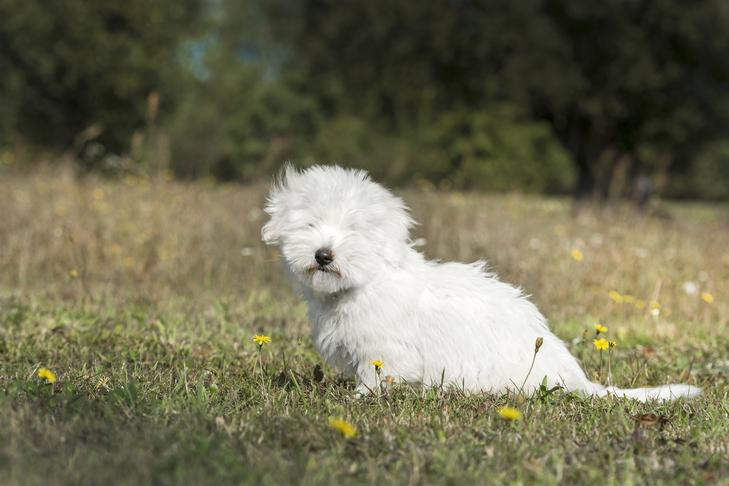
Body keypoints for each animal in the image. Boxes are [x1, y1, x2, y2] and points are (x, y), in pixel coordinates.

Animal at [262, 165, 700, 400]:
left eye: (354, 230)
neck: (365, 281)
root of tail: (574, 378)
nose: (323, 255)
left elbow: (377, 379)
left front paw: (357, 400)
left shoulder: (387, 352)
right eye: (310, 224)